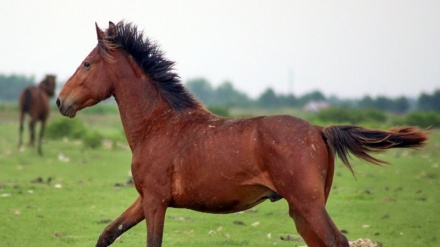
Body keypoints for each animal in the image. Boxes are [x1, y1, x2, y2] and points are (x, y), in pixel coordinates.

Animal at [56, 21, 428, 247]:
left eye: (87, 63)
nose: (61, 101)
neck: (158, 125)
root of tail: (320, 130)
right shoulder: (145, 198)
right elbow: (108, 233)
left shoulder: (156, 200)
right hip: (301, 210)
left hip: (307, 205)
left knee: (337, 241)